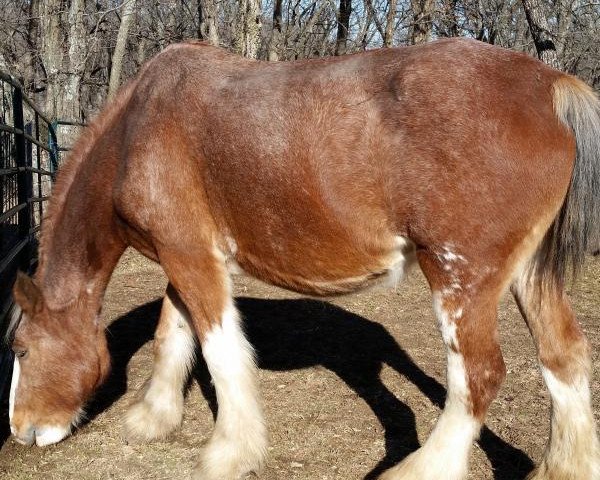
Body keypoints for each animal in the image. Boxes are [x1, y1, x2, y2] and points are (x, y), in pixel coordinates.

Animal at [5, 37, 600, 480]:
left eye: (22, 349)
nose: (22, 430)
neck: (136, 129)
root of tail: (550, 87)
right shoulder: (185, 256)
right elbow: (172, 334)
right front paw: (154, 418)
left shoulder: (191, 258)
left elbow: (220, 351)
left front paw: (229, 452)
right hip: (529, 273)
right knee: (563, 353)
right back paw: (565, 466)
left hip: (460, 275)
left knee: (479, 374)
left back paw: (421, 469)